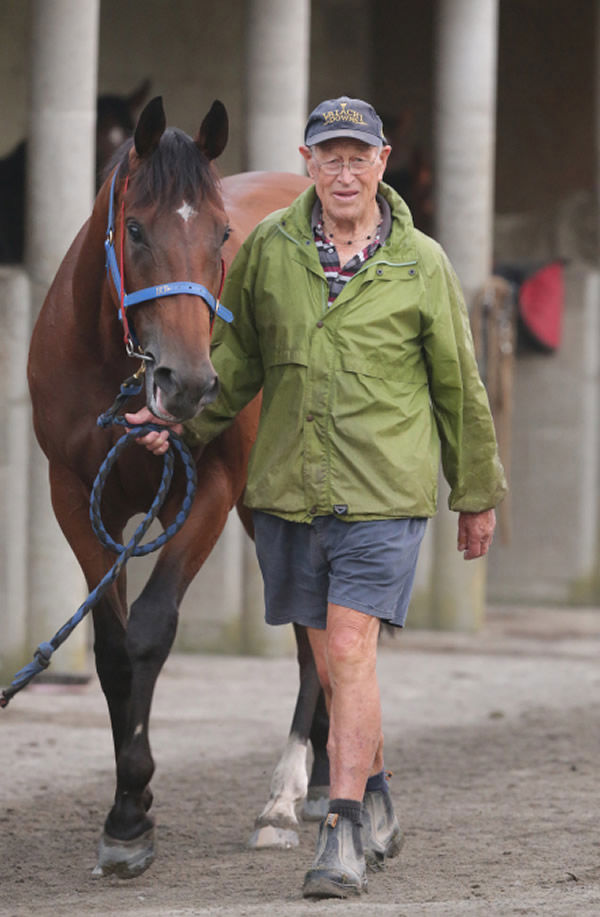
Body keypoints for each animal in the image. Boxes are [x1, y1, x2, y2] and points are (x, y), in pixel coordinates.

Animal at [25, 96, 328, 876]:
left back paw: (286, 796)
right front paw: (129, 809)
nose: (188, 382)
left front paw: (132, 813)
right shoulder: (78, 500)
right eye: (135, 227)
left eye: (221, 234)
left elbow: (151, 632)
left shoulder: (210, 493)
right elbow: (110, 649)